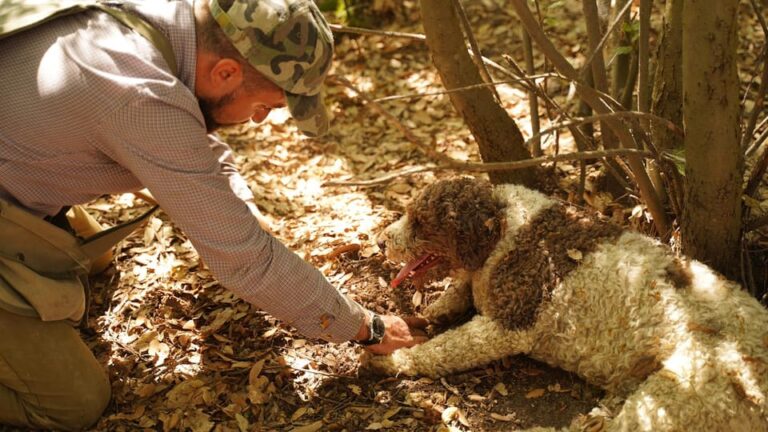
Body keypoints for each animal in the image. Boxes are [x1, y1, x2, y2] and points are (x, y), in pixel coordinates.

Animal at [370, 176, 768, 432]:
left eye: (420, 222)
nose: (379, 241)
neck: (507, 228)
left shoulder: (506, 327)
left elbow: (441, 350)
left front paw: (391, 360)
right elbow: (463, 285)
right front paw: (441, 306)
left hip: (673, 396)